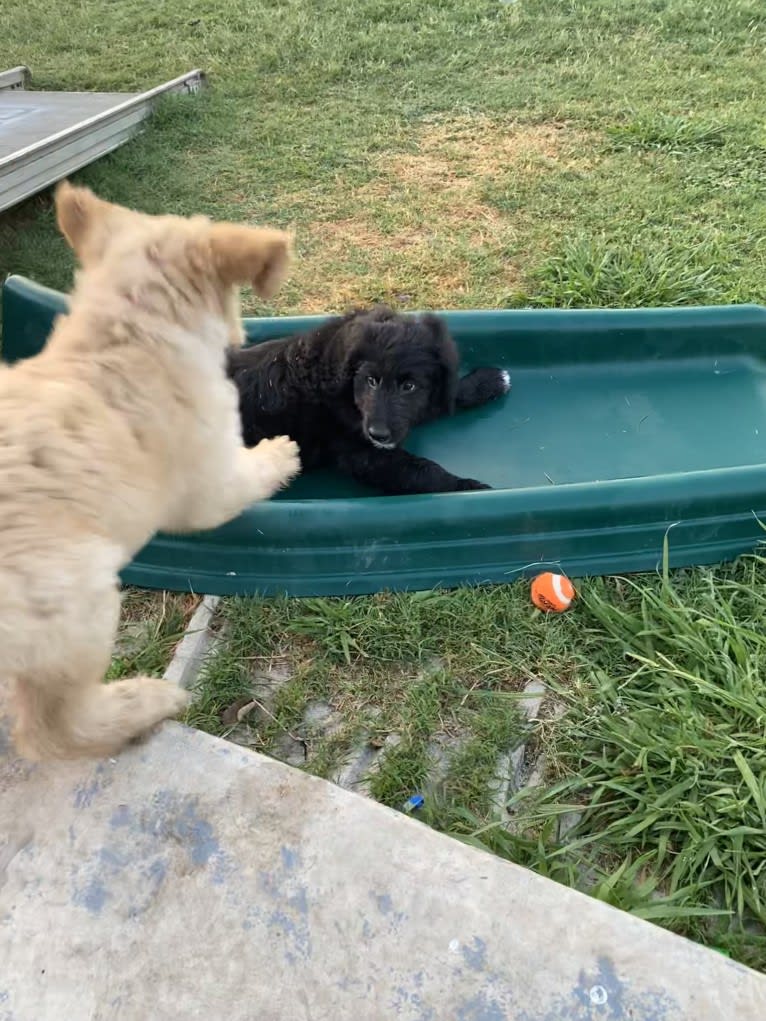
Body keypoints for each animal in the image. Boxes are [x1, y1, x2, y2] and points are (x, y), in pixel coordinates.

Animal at [0, 181, 300, 759]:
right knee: (54, 729)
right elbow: (248, 475)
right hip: (79, 605)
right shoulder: (211, 481)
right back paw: (148, 700)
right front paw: (282, 453)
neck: (130, 330)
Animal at [227, 302, 510, 494]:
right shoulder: (362, 452)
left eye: (409, 386)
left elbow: (440, 399)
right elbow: (420, 471)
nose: (378, 434)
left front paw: (488, 381)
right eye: (371, 381)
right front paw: (470, 486)